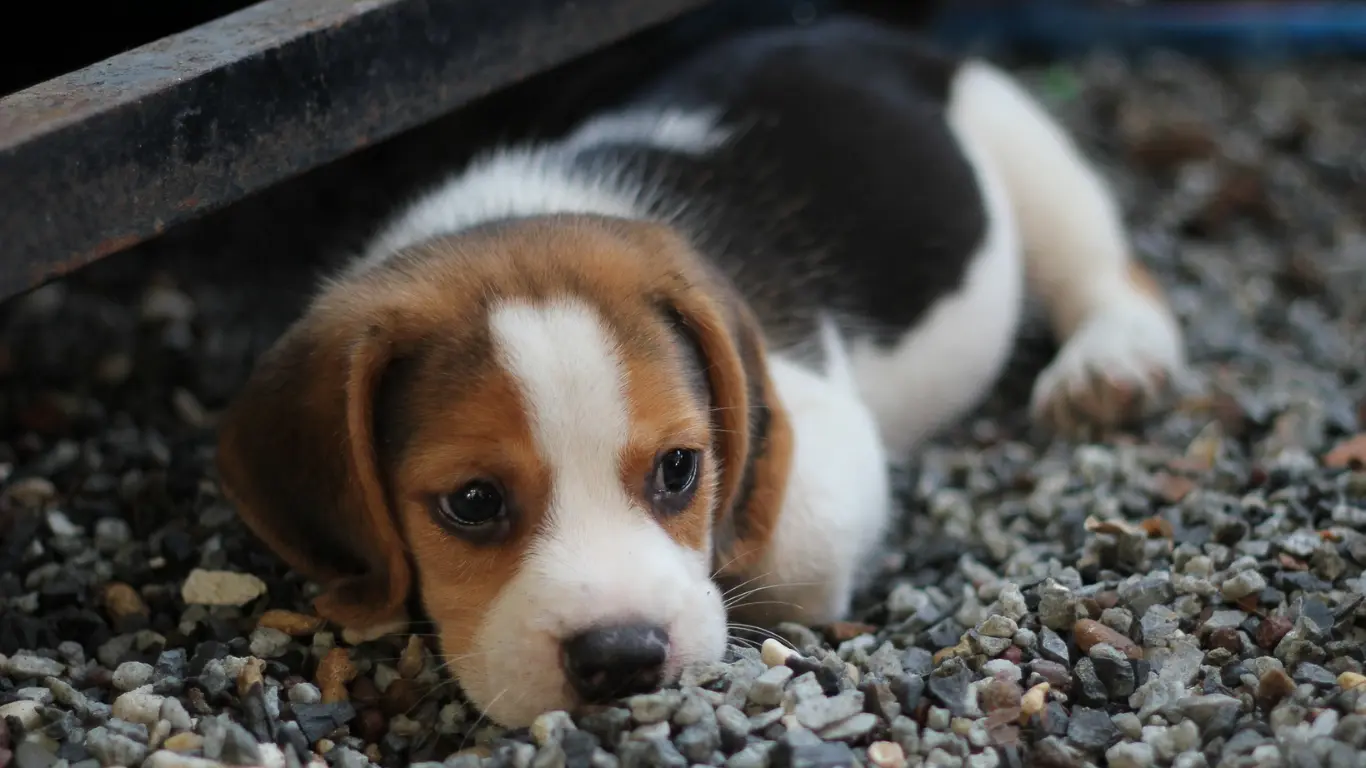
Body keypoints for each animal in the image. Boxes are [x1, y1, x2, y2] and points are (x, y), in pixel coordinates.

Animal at [213, 16, 1185, 721]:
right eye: (473, 503)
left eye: (681, 469)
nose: (622, 658)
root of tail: (852, 30)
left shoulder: (821, 435)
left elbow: (780, 542)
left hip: (1019, 143)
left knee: (1106, 267)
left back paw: (1110, 364)